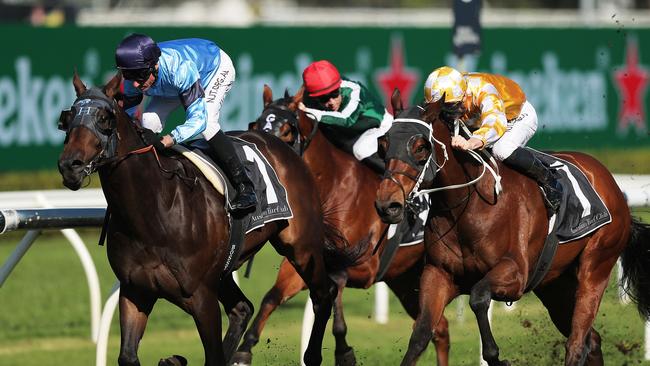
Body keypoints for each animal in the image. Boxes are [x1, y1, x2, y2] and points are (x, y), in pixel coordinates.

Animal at [55, 74, 344, 366]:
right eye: (67, 118)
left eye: (104, 118)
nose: (70, 165)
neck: (152, 212)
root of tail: (285, 149)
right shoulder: (135, 290)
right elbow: (127, 356)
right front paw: (172, 360)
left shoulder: (201, 296)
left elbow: (213, 355)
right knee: (242, 308)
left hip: (301, 246)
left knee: (323, 293)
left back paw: (315, 354)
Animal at [230, 86, 448, 366]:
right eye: (256, 124)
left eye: (287, 130)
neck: (332, 189)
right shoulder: (304, 259)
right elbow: (272, 297)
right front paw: (244, 349)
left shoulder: (364, 267)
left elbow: (335, 291)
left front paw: (343, 350)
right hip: (408, 278)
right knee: (439, 328)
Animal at [372, 89, 648, 366]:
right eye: (383, 144)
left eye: (420, 146)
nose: (387, 205)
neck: (467, 206)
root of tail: (609, 182)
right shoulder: (438, 274)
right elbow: (420, 335)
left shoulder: (515, 274)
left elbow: (478, 297)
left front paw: (496, 357)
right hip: (555, 285)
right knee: (592, 341)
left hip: (596, 267)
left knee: (577, 343)